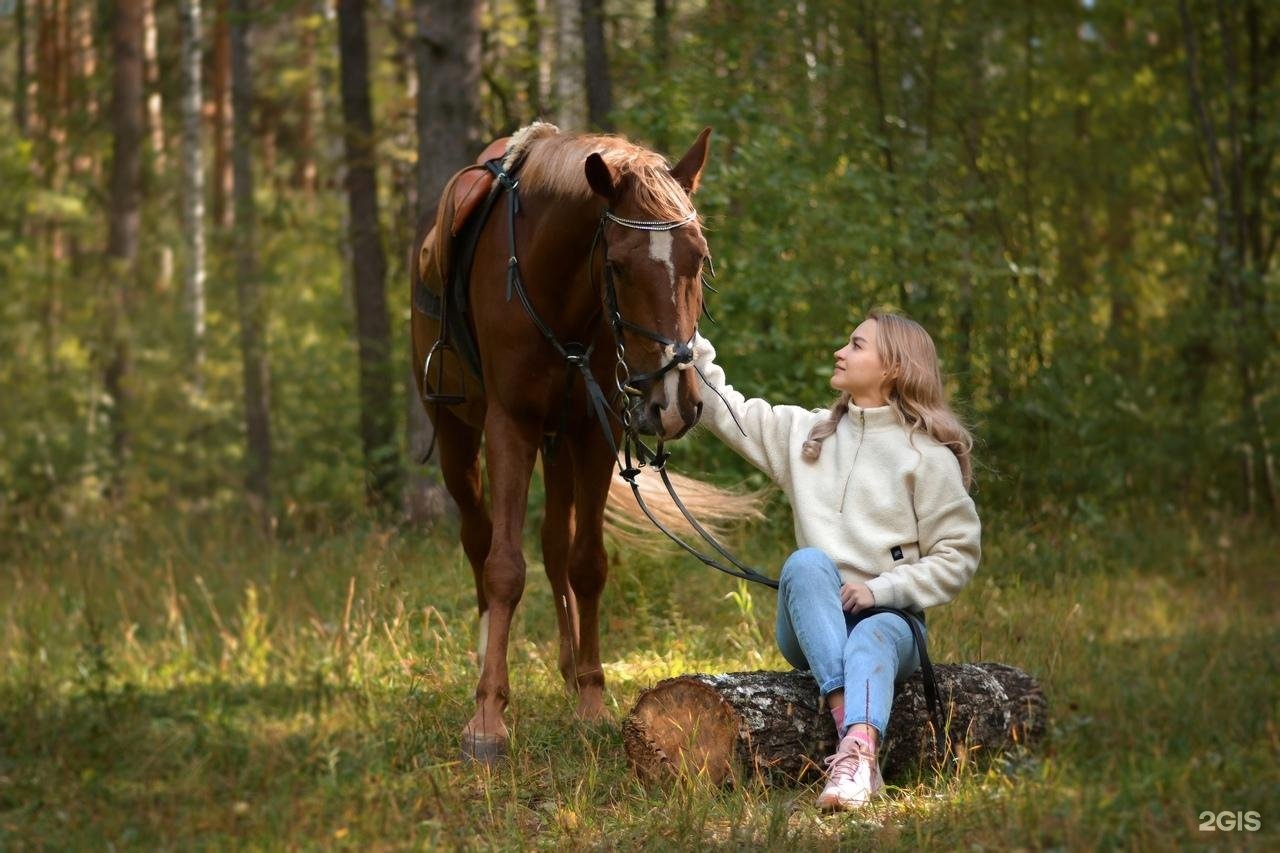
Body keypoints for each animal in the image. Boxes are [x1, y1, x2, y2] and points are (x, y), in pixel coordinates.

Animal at [409, 121, 721, 758]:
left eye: (698, 257)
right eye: (619, 265)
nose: (674, 403)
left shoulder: (591, 433)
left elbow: (586, 564)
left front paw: (592, 699)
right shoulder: (510, 426)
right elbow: (505, 567)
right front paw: (488, 717)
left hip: (558, 446)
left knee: (555, 546)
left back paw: (569, 666)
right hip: (456, 437)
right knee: (478, 539)